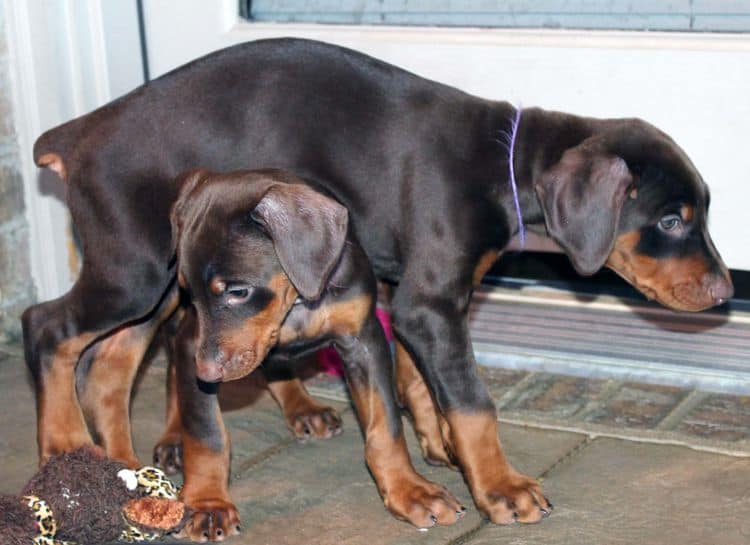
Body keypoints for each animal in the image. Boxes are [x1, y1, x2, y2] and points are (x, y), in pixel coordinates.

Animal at [168, 169, 468, 540]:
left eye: (239, 292)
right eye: (190, 293)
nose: (207, 373)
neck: (296, 301)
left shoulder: (363, 339)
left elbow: (386, 427)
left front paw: (408, 489)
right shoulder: (191, 342)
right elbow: (205, 432)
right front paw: (208, 504)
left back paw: (304, 408)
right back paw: (171, 439)